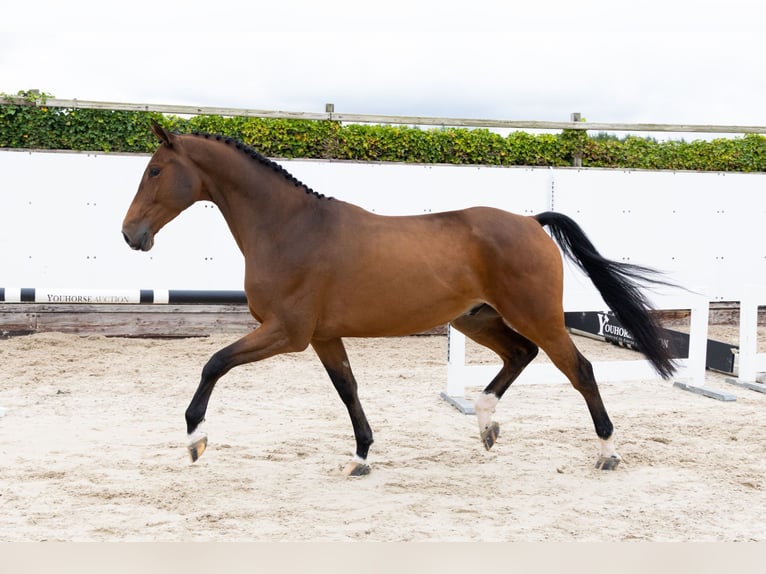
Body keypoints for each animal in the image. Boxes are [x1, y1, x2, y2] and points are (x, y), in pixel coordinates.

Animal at [122, 120, 676, 476]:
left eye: (155, 171)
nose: (131, 235)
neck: (290, 228)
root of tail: (529, 221)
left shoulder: (287, 332)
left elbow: (214, 363)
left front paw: (194, 440)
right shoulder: (322, 337)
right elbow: (348, 389)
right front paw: (361, 456)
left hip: (535, 314)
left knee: (578, 368)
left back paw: (606, 452)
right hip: (477, 319)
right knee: (522, 353)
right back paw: (486, 423)